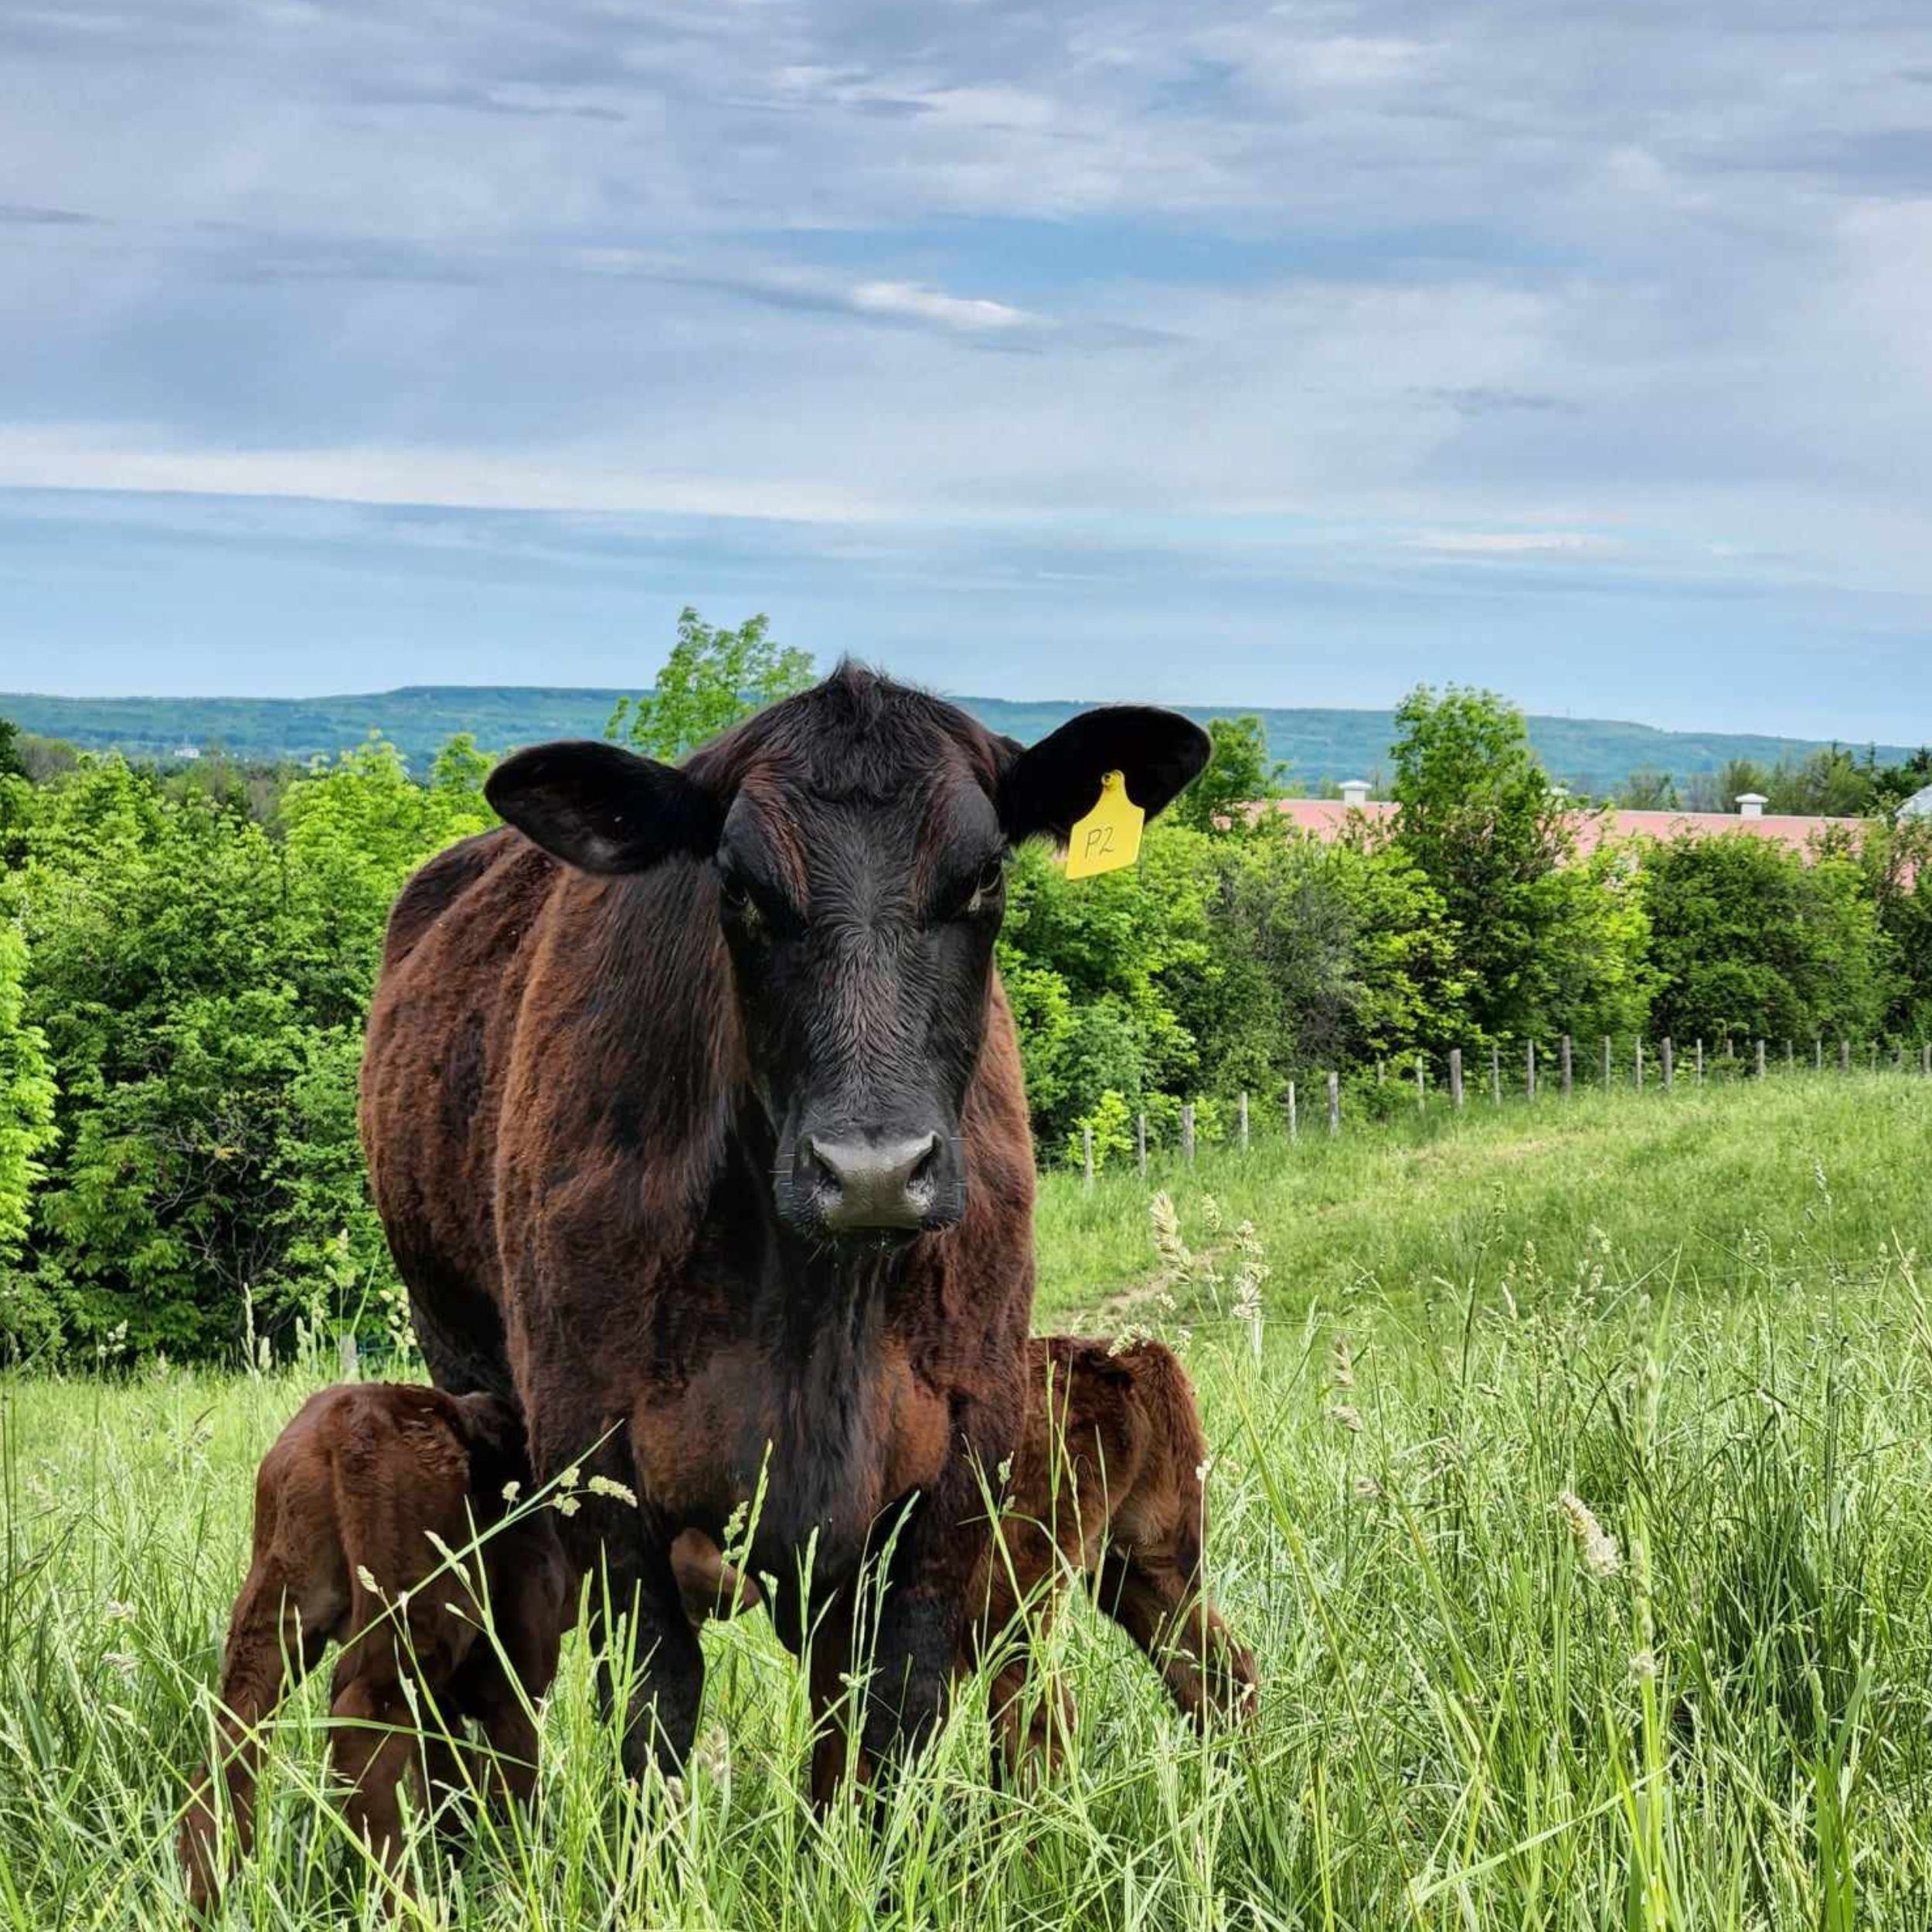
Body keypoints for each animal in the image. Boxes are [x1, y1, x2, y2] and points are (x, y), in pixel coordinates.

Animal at [176, 1383, 568, 1909]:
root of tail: (342, 1418)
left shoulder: (444, 1703)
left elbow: (445, 1780)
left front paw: (458, 1859)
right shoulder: (518, 1675)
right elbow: (513, 1778)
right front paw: (521, 1870)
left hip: (276, 1603)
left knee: (237, 1728)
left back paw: (204, 1892)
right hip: (414, 1611)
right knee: (359, 1731)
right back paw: (402, 1902)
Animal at [363, 676, 1206, 1777]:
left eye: (983, 875)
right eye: (739, 886)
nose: (872, 1172)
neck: (813, 1319)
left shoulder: (955, 1469)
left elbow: (884, 1723)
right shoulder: (599, 1470)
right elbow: (654, 1712)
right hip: (466, 1372)